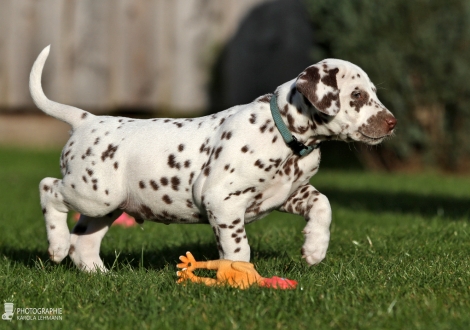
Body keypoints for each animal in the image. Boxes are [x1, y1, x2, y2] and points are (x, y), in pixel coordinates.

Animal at [30, 45, 396, 270]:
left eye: (373, 93)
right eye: (357, 95)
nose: (392, 123)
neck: (282, 133)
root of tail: (86, 119)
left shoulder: (288, 193)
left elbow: (324, 205)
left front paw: (314, 248)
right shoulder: (223, 201)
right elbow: (238, 248)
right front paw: (241, 277)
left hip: (108, 206)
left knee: (84, 242)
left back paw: (100, 275)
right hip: (93, 194)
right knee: (48, 188)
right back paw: (57, 244)